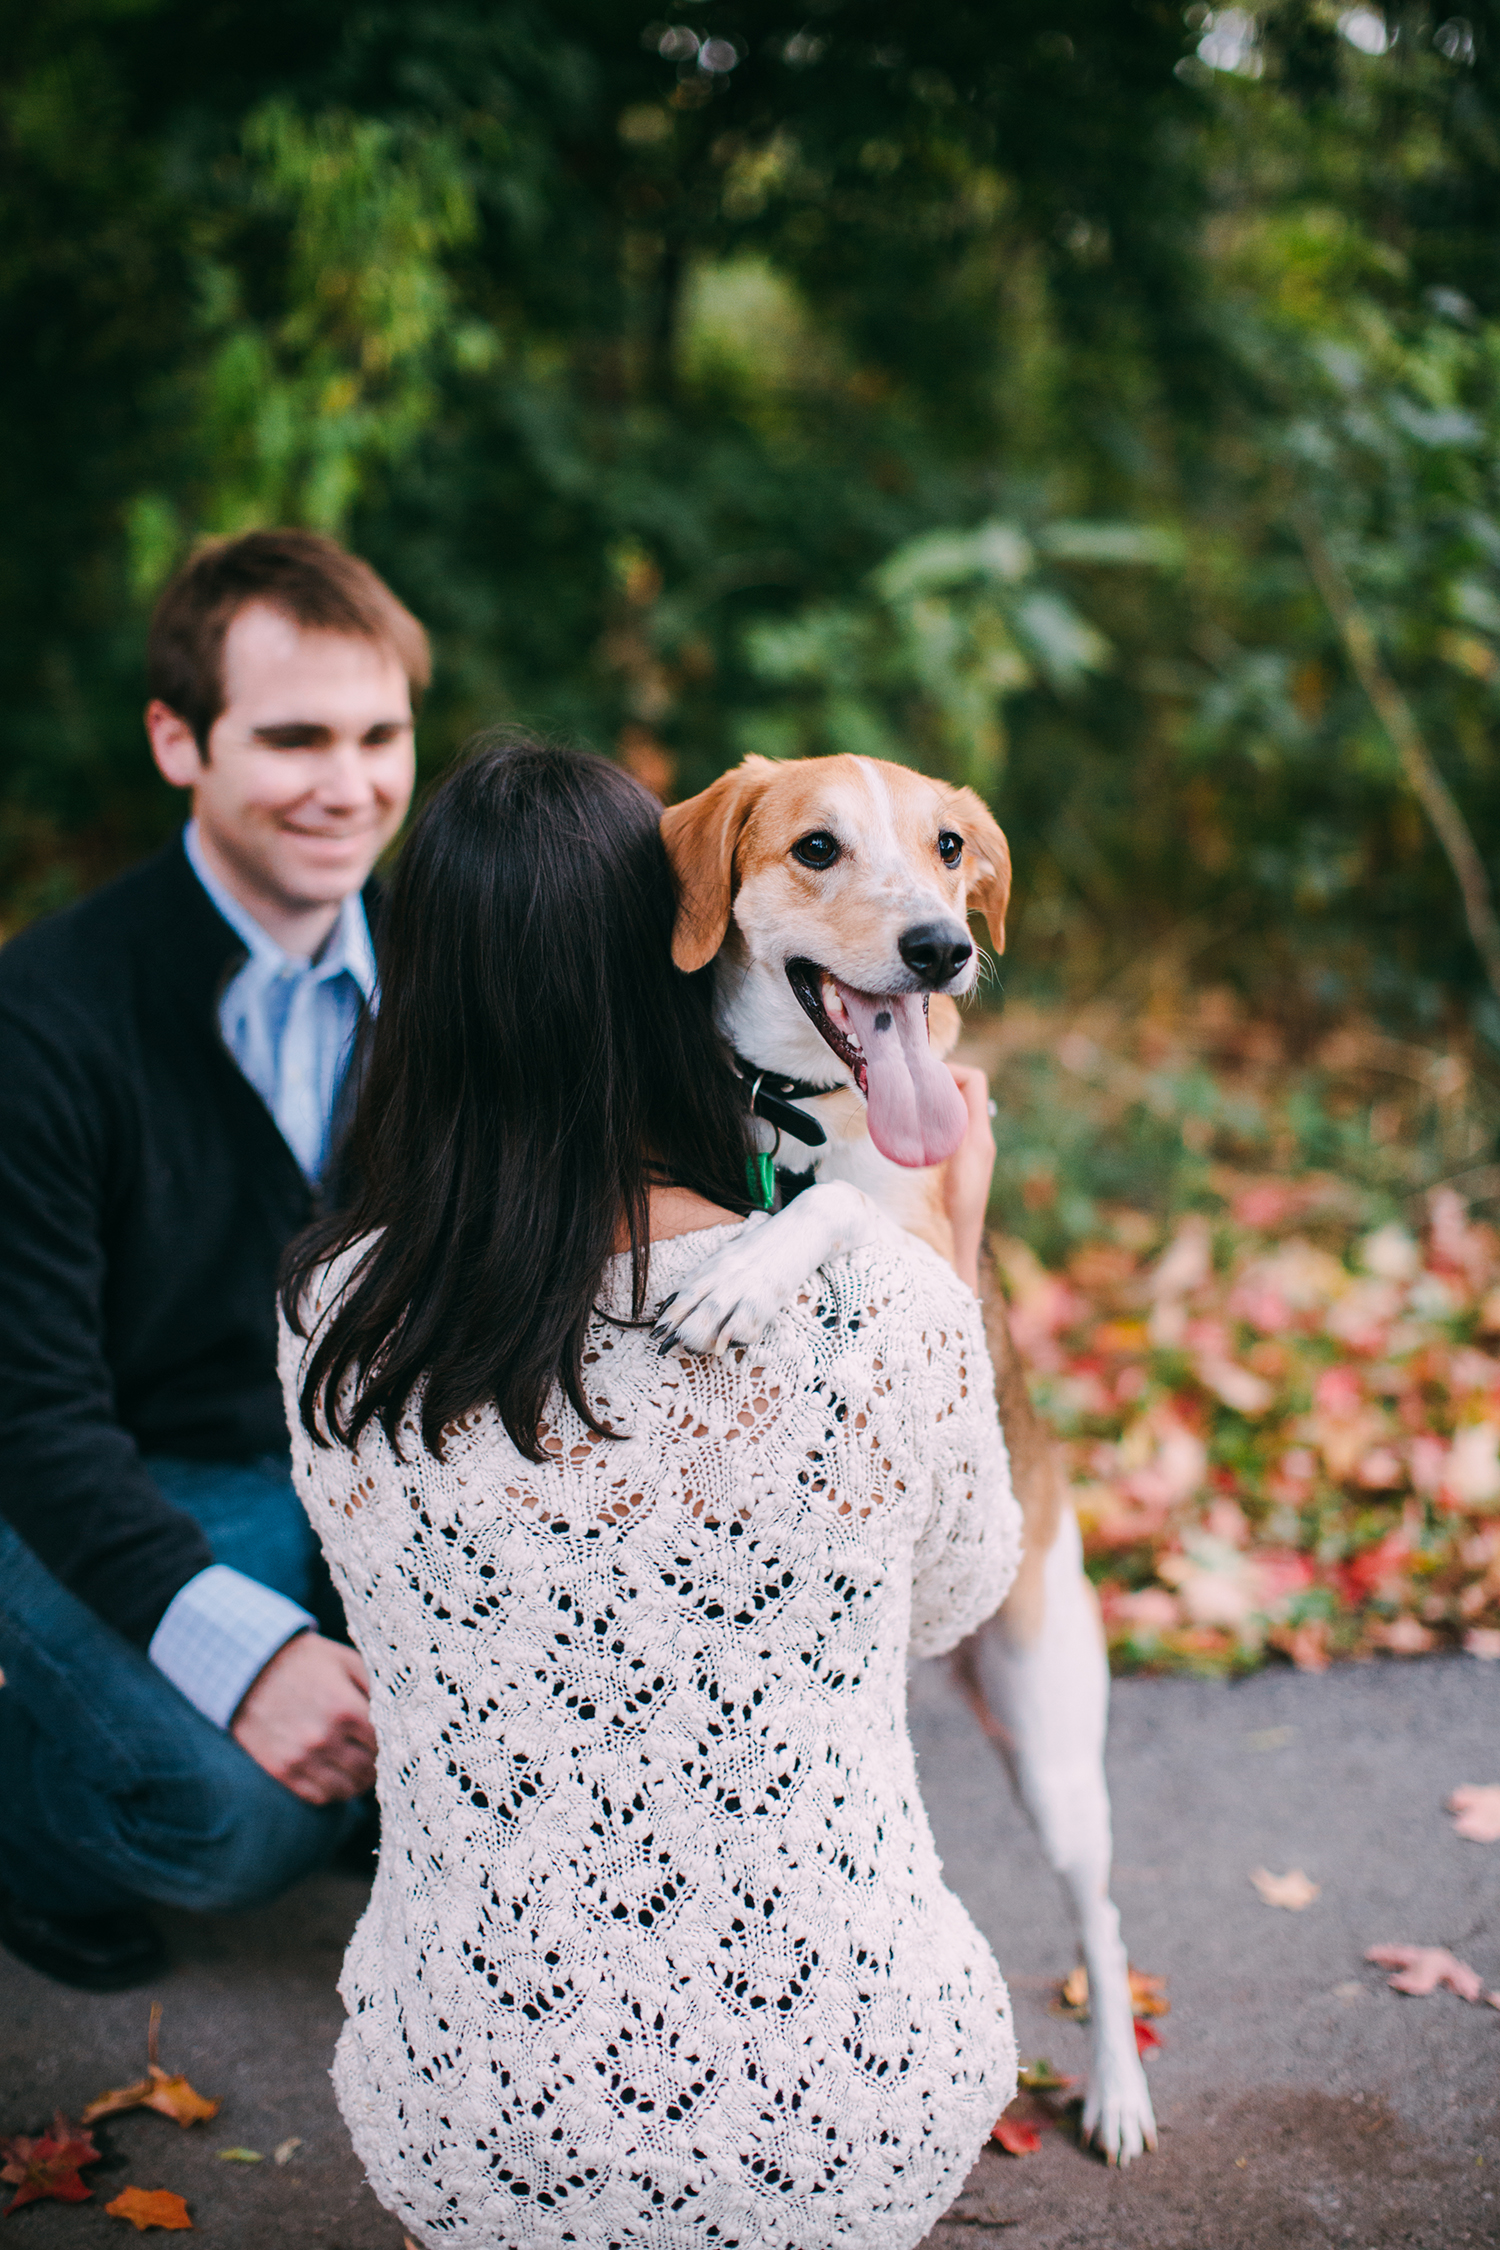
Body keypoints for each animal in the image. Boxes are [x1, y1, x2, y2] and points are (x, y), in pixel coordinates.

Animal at [656, 751, 1160, 2160]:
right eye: (817, 848)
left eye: (948, 848)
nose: (942, 950)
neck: (804, 1114)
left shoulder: (929, 1247)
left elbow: (835, 1205)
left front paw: (744, 1278)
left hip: (1054, 1747)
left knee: (1102, 1919)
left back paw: (1119, 2090)